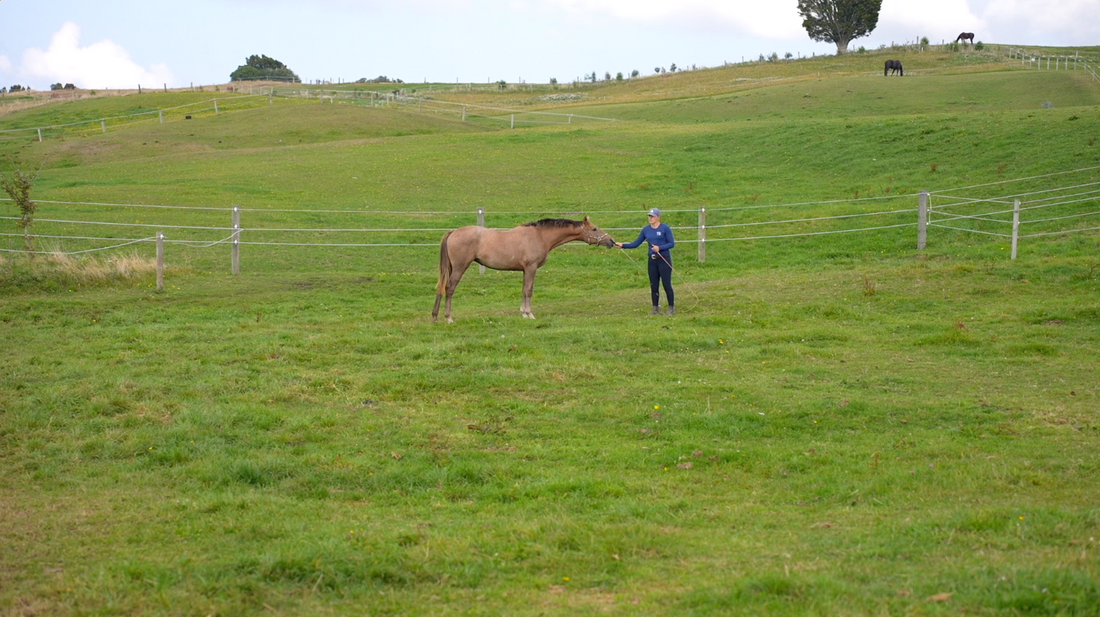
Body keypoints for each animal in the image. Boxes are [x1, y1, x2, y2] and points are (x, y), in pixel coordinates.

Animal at [432, 216, 615, 322]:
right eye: (594, 229)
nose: (611, 241)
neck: (540, 236)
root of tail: (453, 232)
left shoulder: (524, 270)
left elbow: (523, 290)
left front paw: (523, 312)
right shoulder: (531, 268)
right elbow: (529, 290)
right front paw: (529, 314)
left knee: (441, 288)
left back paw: (434, 317)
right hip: (459, 268)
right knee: (449, 289)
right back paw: (448, 318)